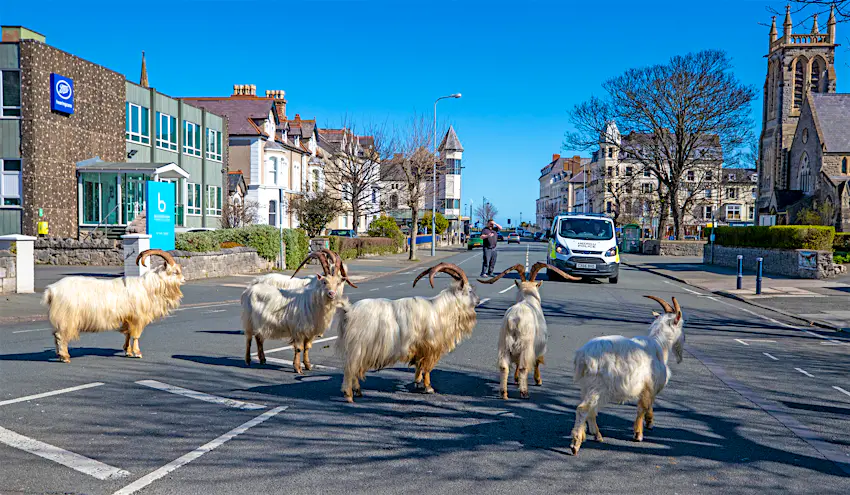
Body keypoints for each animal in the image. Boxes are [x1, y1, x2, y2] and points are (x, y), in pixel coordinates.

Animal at [42, 249, 185, 363]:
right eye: (175, 272)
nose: (184, 280)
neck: (148, 287)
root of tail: (51, 290)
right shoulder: (138, 318)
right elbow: (136, 335)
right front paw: (137, 353)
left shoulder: (128, 318)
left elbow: (127, 334)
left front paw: (128, 351)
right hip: (67, 318)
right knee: (60, 336)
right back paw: (65, 357)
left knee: (56, 335)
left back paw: (60, 355)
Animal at [335, 263, 480, 402]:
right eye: (469, 290)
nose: (478, 300)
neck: (440, 310)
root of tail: (349, 311)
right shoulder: (430, 346)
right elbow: (427, 368)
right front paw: (429, 388)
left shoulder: (419, 347)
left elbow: (419, 366)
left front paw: (418, 382)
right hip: (358, 346)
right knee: (350, 368)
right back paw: (349, 394)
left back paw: (357, 391)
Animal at [479, 262, 580, 399]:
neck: (528, 299)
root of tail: (514, 319)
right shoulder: (539, 344)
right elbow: (537, 361)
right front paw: (538, 380)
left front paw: (516, 379)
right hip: (525, 344)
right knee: (523, 367)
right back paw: (524, 392)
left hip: (504, 344)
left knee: (504, 367)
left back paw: (504, 393)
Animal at [569, 296, 685, 455]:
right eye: (681, 325)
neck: (659, 345)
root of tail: (582, 356)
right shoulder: (649, 386)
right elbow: (643, 407)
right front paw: (638, 434)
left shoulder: (647, 387)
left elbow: (648, 405)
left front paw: (649, 422)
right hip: (598, 386)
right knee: (584, 409)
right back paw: (576, 444)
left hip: (587, 386)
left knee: (590, 410)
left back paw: (597, 435)